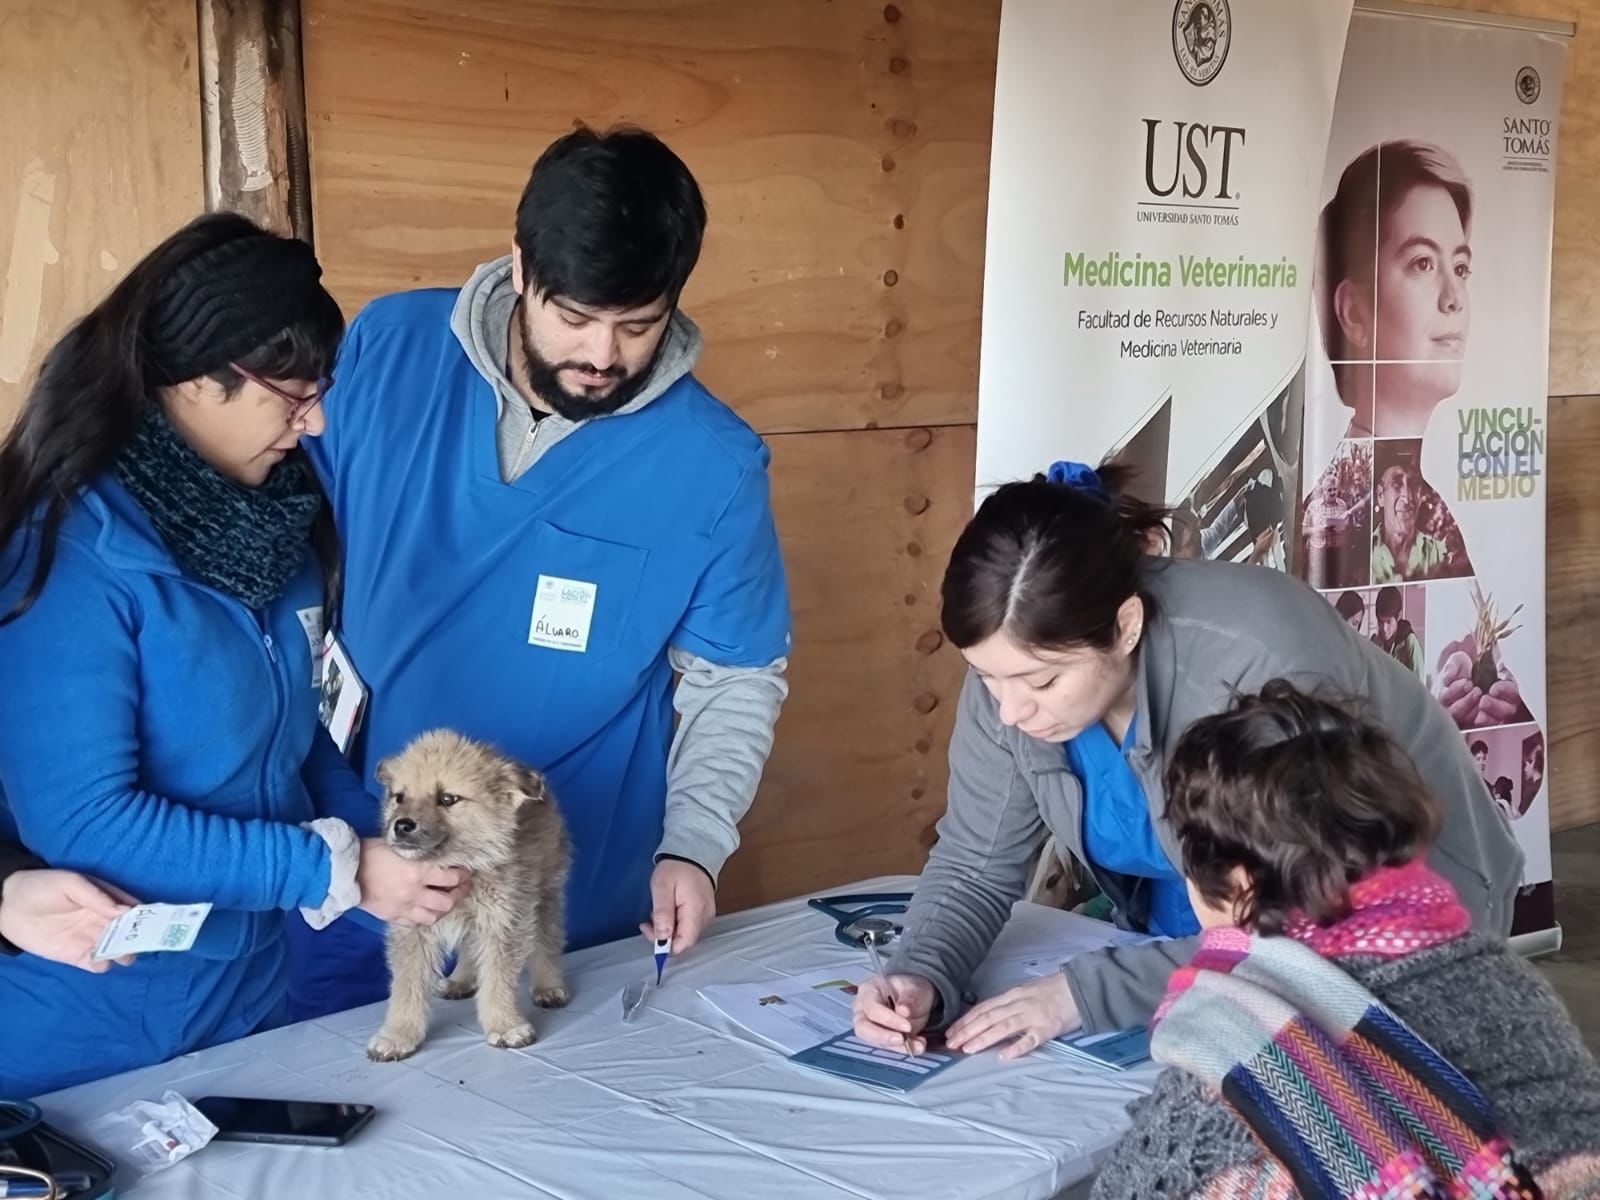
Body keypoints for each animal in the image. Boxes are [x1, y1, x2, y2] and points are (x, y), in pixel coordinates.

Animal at [366, 732, 572, 1062]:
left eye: (447, 799)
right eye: (399, 797)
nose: (401, 825)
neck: (461, 864)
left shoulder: (504, 921)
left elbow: (497, 980)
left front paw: (505, 1025)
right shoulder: (414, 927)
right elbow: (407, 986)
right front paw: (398, 1035)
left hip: (546, 893)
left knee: (547, 942)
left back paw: (548, 986)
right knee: (468, 946)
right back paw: (461, 980)